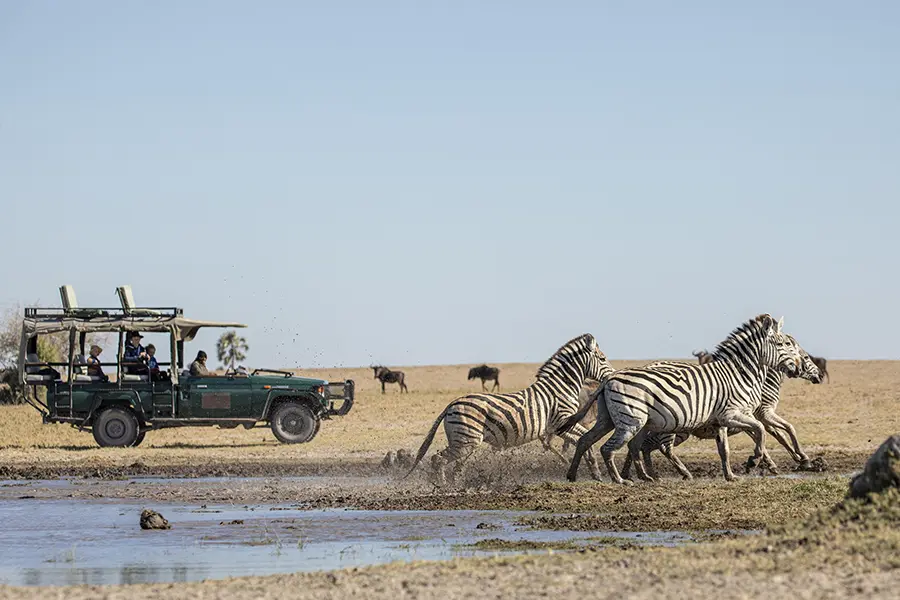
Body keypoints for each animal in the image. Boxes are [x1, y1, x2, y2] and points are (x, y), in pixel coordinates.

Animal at [404, 332, 616, 482]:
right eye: (603, 359)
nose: (613, 375)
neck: (560, 387)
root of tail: (451, 404)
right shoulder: (562, 422)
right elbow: (584, 439)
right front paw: (595, 471)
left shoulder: (561, 427)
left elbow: (583, 441)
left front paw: (594, 472)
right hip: (465, 442)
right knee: (438, 459)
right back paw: (442, 486)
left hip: (464, 441)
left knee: (449, 465)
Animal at [620, 344, 824, 480]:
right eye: (807, 358)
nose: (820, 376)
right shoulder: (764, 413)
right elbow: (785, 430)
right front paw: (801, 459)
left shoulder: (752, 417)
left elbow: (771, 435)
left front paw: (770, 462)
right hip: (673, 427)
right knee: (657, 446)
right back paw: (675, 473)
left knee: (640, 444)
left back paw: (633, 473)